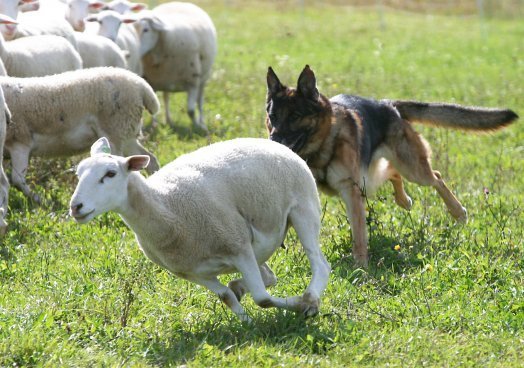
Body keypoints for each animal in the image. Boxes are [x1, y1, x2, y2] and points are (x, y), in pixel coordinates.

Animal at [0, 67, 160, 203]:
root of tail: (141, 85)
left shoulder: (20, 142)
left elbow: (17, 180)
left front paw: (41, 201)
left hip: (115, 131)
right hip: (126, 134)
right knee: (150, 159)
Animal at [70, 138, 332, 322]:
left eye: (110, 174)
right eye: (78, 174)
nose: (75, 207)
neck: (166, 207)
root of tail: (270, 141)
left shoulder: (238, 246)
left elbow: (263, 299)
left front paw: (301, 306)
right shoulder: (192, 272)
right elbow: (226, 297)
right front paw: (247, 322)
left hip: (304, 209)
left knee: (320, 264)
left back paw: (310, 299)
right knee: (269, 276)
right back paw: (242, 287)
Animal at [136, 2, 218, 133]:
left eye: (146, 30)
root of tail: (180, 2)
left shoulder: (193, 81)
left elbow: (191, 111)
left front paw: (197, 127)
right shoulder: (151, 81)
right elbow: (153, 108)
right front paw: (153, 126)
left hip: (203, 79)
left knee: (200, 102)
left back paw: (202, 122)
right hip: (165, 81)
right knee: (166, 98)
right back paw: (168, 120)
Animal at [268, 64, 516, 268]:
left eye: (295, 116)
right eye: (272, 116)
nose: (273, 141)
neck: (323, 142)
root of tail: (387, 104)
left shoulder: (351, 190)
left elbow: (359, 234)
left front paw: (361, 266)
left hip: (412, 169)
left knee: (434, 176)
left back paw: (458, 212)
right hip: (375, 176)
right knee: (393, 172)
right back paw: (404, 200)